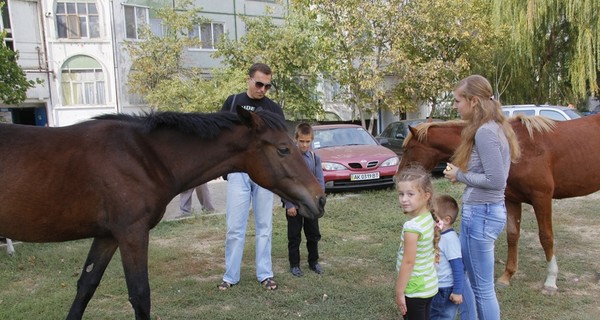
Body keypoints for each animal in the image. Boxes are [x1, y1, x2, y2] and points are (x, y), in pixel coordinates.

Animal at [0, 106, 326, 318]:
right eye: (283, 149)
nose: (319, 199)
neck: (143, 155)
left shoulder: (108, 237)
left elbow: (85, 288)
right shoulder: (132, 234)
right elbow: (140, 295)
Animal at [398, 114, 600, 292]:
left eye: (408, 148)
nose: (398, 177)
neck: (516, 148)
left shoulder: (541, 198)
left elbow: (546, 237)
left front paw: (551, 280)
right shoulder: (511, 199)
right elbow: (512, 235)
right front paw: (507, 276)